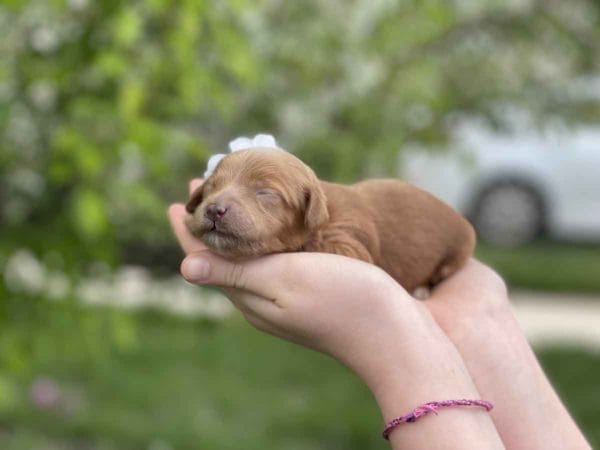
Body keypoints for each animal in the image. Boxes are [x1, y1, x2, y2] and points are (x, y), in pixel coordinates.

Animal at [185, 149, 476, 292]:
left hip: (458, 252)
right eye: (212, 187)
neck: (323, 214)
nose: (214, 210)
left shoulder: (351, 243)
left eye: (265, 192)